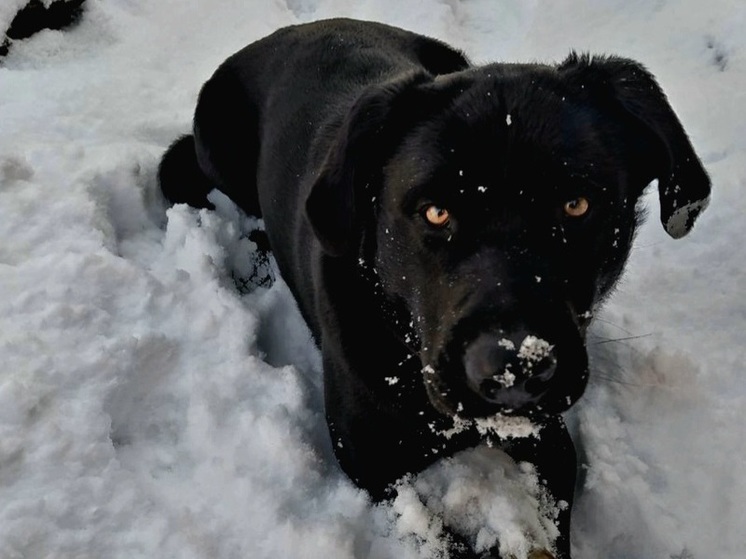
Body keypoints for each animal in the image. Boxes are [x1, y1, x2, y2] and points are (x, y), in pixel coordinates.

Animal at [158, 16, 708, 556]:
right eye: (436, 212)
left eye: (577, 205)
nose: (514, 370)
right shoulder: (373, 467)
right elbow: (438, 538)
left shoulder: (549, 437)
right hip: (214, 147)